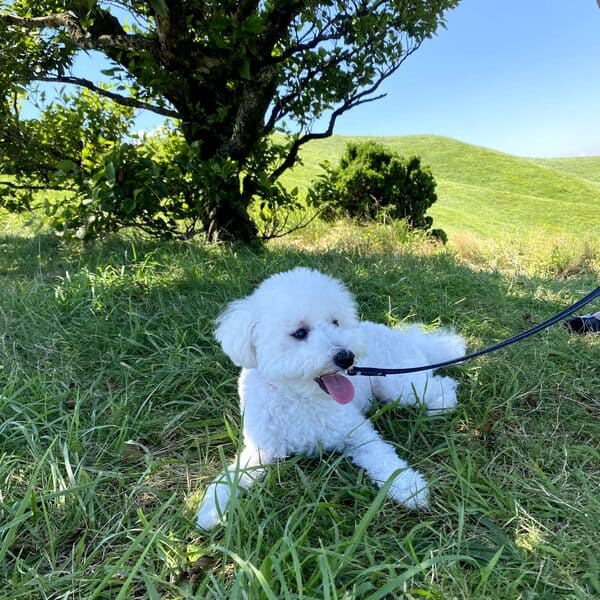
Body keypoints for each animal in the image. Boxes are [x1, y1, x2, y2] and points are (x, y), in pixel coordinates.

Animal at [197, 268, 464, 528]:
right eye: (299, 333)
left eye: (335, 322)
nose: (346, 357)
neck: (300, 398)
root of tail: (404, 336)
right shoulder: (261, 449)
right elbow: (231, 477)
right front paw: (211, 509)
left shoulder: (359, 434)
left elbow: (385, 459)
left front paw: (409, 486)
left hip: (398, 385)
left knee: (443, 385)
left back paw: (441, 406)